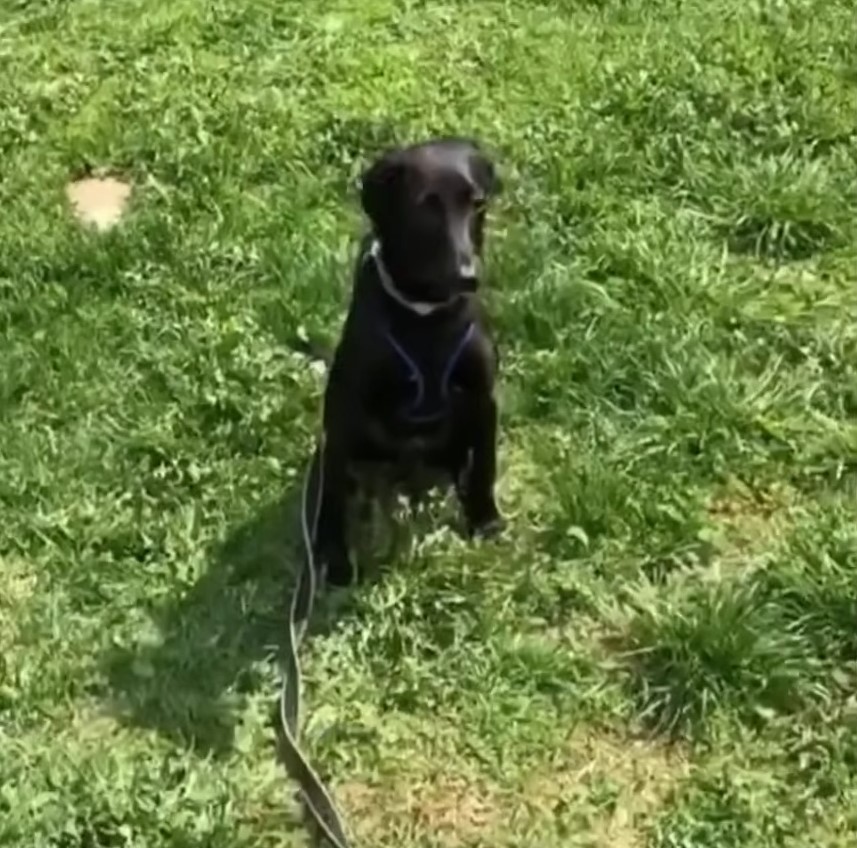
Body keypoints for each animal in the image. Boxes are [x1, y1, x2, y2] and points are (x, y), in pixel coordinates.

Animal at [310, 139, 504, 588]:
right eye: (426, 207)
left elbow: (486, 466)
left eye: (477, 204)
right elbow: (332, 501)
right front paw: (334, 557)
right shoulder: (343, 415)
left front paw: (485, 519)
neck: (426, 314)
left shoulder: (483, 398)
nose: (469, 277)